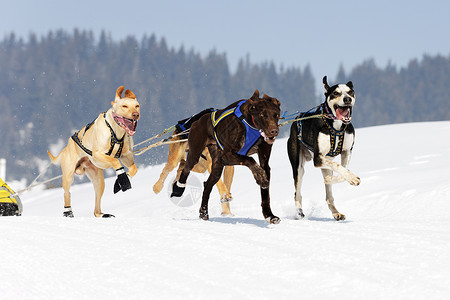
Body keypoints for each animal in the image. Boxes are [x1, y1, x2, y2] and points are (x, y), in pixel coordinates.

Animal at [46, 85, 140, 217]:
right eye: (124, 106)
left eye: (137, 106)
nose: (136, 114)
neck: (115, 131)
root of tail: (66, 147)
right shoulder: (97, 155)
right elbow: (115, 161)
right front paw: (122, 178)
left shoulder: (126, 155)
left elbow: (133, 169)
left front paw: (122, 180)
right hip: (68, 176)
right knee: (66, 193)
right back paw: (68, 212)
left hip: (99, 181)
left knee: (96, 209)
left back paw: (102, 215)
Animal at [172, 89, 282, 223]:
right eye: (262, 115)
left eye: (276, 115)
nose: (274, 131)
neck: (250, 124)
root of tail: (198, 121)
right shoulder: (227, 156)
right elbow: (250, 160)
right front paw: (260, 177)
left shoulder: (264, 161)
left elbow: (265, 192)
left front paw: (269, 215)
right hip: (195, 153)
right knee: (186, 168)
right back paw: (178, 188)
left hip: (217, 166)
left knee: (207, 185)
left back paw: (203, 213)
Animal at [288, 75, 362, 220]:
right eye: (336, 93)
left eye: (350, 92)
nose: (347, 99)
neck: (336, 126)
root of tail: (297, 118)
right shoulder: (318, 159)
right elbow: (339, 167)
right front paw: (352, 178)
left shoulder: (347, 152)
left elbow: (343, 169)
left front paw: (345, 178)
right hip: (298, 168)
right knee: (297, 194)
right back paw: (299, 213)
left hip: (325, 166)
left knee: (329, 196)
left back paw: (336, 212)